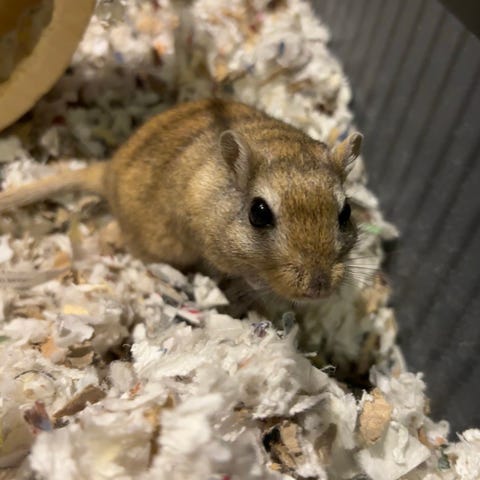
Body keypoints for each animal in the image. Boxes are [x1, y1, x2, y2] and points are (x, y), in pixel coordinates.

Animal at [0, 99, 362, 303]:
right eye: (259, 214)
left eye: (345, 212)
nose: (319, 288)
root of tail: (107, 171)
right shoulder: (209, 245)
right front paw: (257, 283)